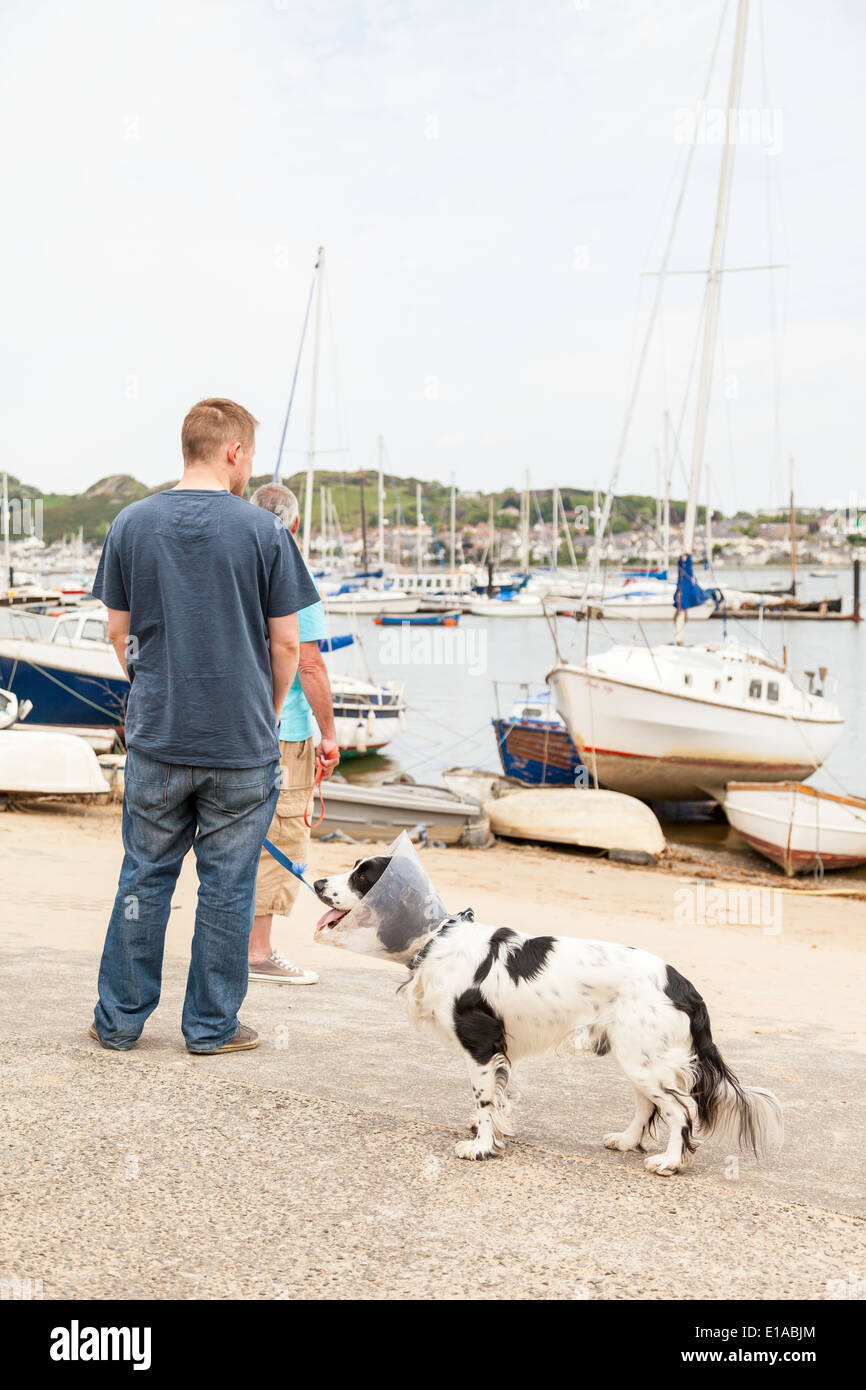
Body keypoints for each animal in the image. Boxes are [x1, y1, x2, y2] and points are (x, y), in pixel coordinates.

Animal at [312, 856, 783, 1173]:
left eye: (362, 875)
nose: (316, 881)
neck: (436, 939)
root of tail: (683, 984)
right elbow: (497, 1098)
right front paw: (488, 1134)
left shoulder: (481, 1045)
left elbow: (484, 1098)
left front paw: (480, 1147)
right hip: (638, 1057)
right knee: (650, 1104)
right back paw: (626, 1141)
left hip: (643, 1059)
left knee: (680, 1111)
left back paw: (668, 1162)